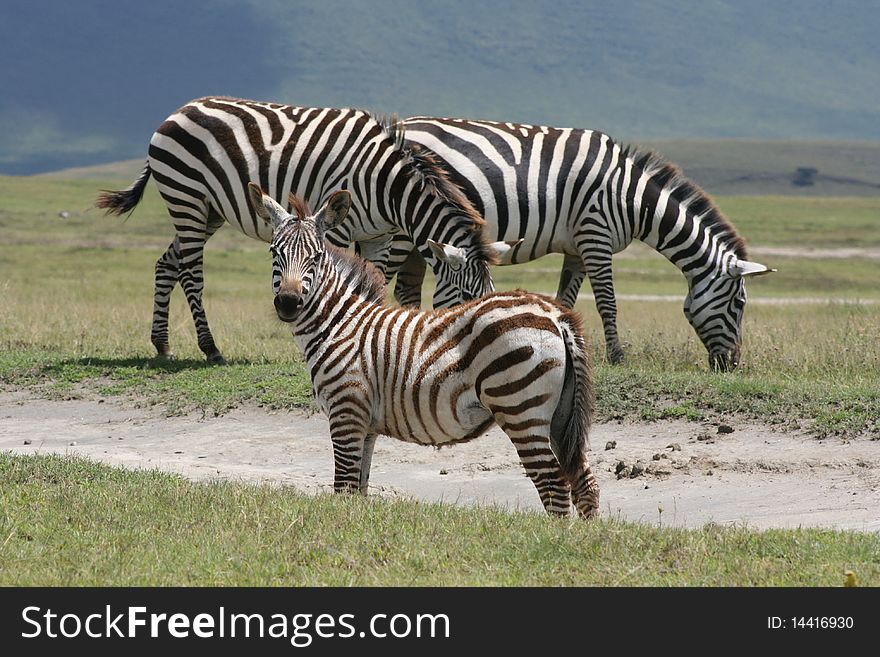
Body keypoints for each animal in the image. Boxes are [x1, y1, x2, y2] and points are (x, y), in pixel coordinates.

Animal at [95, 97, 508, 364]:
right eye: (467, 298)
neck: (387, 187)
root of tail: (178, 111)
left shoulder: (379, 236)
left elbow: (374, 283)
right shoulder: (338, 229)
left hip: (208, 210)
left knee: (166, 263)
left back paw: (162, 345)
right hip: (188, 199)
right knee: (190, 272)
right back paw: (211, 349)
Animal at [251, 181, 600, 516]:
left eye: (316, 257)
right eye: (274, 253)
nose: (288, 303)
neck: (340, 325)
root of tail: (554, 314)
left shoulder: (346, 411)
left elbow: (344, 488)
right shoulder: (365, 424)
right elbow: (359, 490)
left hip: (520, 406)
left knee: (554, 486)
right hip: (559, 413)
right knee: (585, 482)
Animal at [382, 118, 772, 372]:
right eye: (739, 304)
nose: (732, 365)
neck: (631, 198)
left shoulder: (576, 249)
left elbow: (564, 300)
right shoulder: (595, 233)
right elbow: (608, 303)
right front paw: (617, 357)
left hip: (425, 241)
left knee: (406, 289)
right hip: (406, 228)